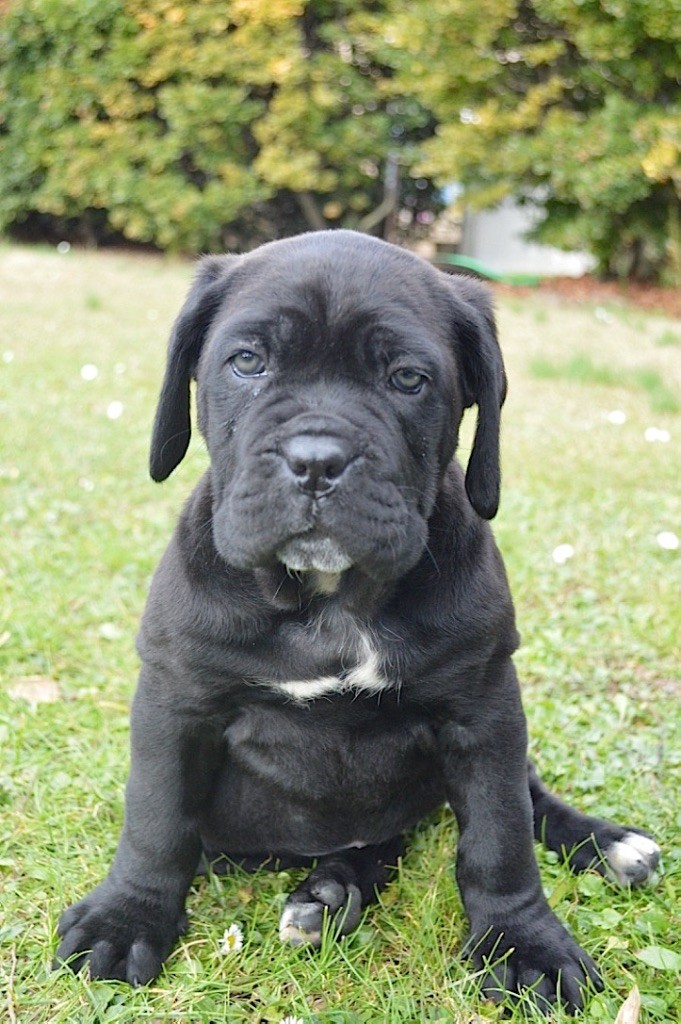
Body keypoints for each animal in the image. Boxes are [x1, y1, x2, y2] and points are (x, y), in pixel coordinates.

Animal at [54, 230, 659, 1007]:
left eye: (407, 378)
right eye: (247, 362)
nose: (317, 459)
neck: (330, 600)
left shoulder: (484, 707)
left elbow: (500, 834)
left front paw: (524, 941)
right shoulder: (176, 700)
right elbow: (157, 820)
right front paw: (126, 918)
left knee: (517, 801)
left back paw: (604, 845)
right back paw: (329, 894)